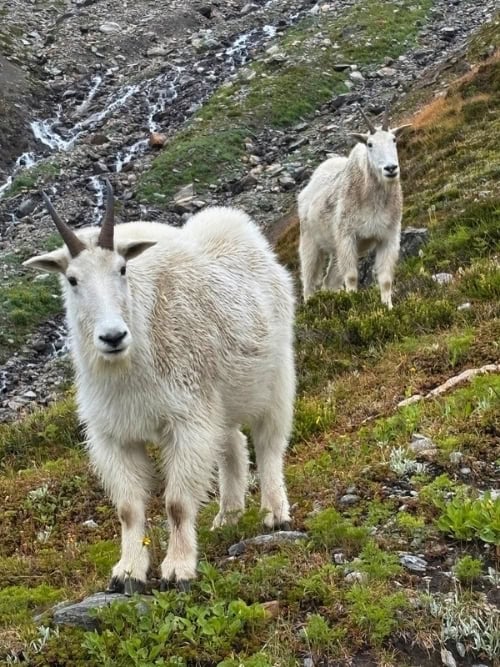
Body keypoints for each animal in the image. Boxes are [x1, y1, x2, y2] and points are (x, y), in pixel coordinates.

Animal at [24, 183, 295, 593]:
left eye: (122, 269)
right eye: (72, 280)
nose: (113, 337)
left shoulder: (186, 421)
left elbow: (177, 504)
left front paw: (178, 568)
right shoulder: (114, 435)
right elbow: (128, 509)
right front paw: (127, 572)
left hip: (275, 374)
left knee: (268, 444)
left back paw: (275, 512)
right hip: (221, 397)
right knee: (232, 443)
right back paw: (228, 515)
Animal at [298, 106, 411, 307]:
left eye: (394, 139)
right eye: (370, 144)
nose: (390, 168)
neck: (374, 199)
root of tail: (307, 189)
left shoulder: (388, 237)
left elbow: (386, 279)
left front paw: (388, 307)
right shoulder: (347, 237)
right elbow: (351, 277)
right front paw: (353, 305)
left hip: (335, 249)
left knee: (329, 281)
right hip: (310, 241)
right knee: (309, 281)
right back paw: (311, 304)